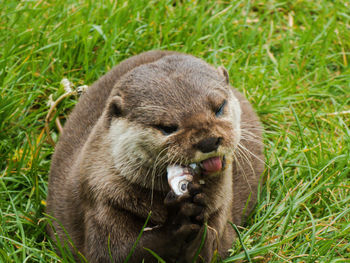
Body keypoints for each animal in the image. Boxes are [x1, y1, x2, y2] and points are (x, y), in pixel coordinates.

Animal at [47, 50, 266, 262]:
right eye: (167, 127)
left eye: (219, 107)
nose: (209, 141)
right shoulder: (99, 199)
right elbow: (111, 253)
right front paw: (178, 220)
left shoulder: (220, 208)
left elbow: (208, 251)